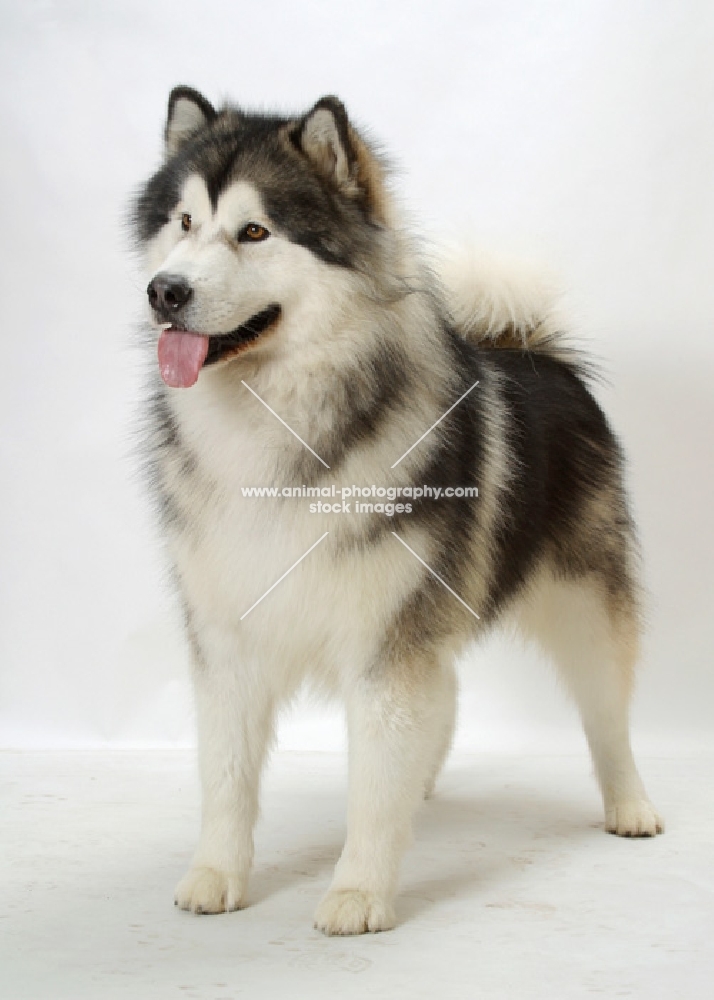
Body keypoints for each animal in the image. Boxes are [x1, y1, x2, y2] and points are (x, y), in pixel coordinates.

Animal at [132, 88, 660, 936]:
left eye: (255, 231)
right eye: (183, 222)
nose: (166, 292)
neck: (275, 428)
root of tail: (530, 348)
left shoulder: (385, 637)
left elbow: (374, 779)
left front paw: (359, 891)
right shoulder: (227, 636)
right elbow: (226, 775)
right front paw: (215, 874)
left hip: (586, 602)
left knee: (607, 713)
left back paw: (631, 804)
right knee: (445, 702)